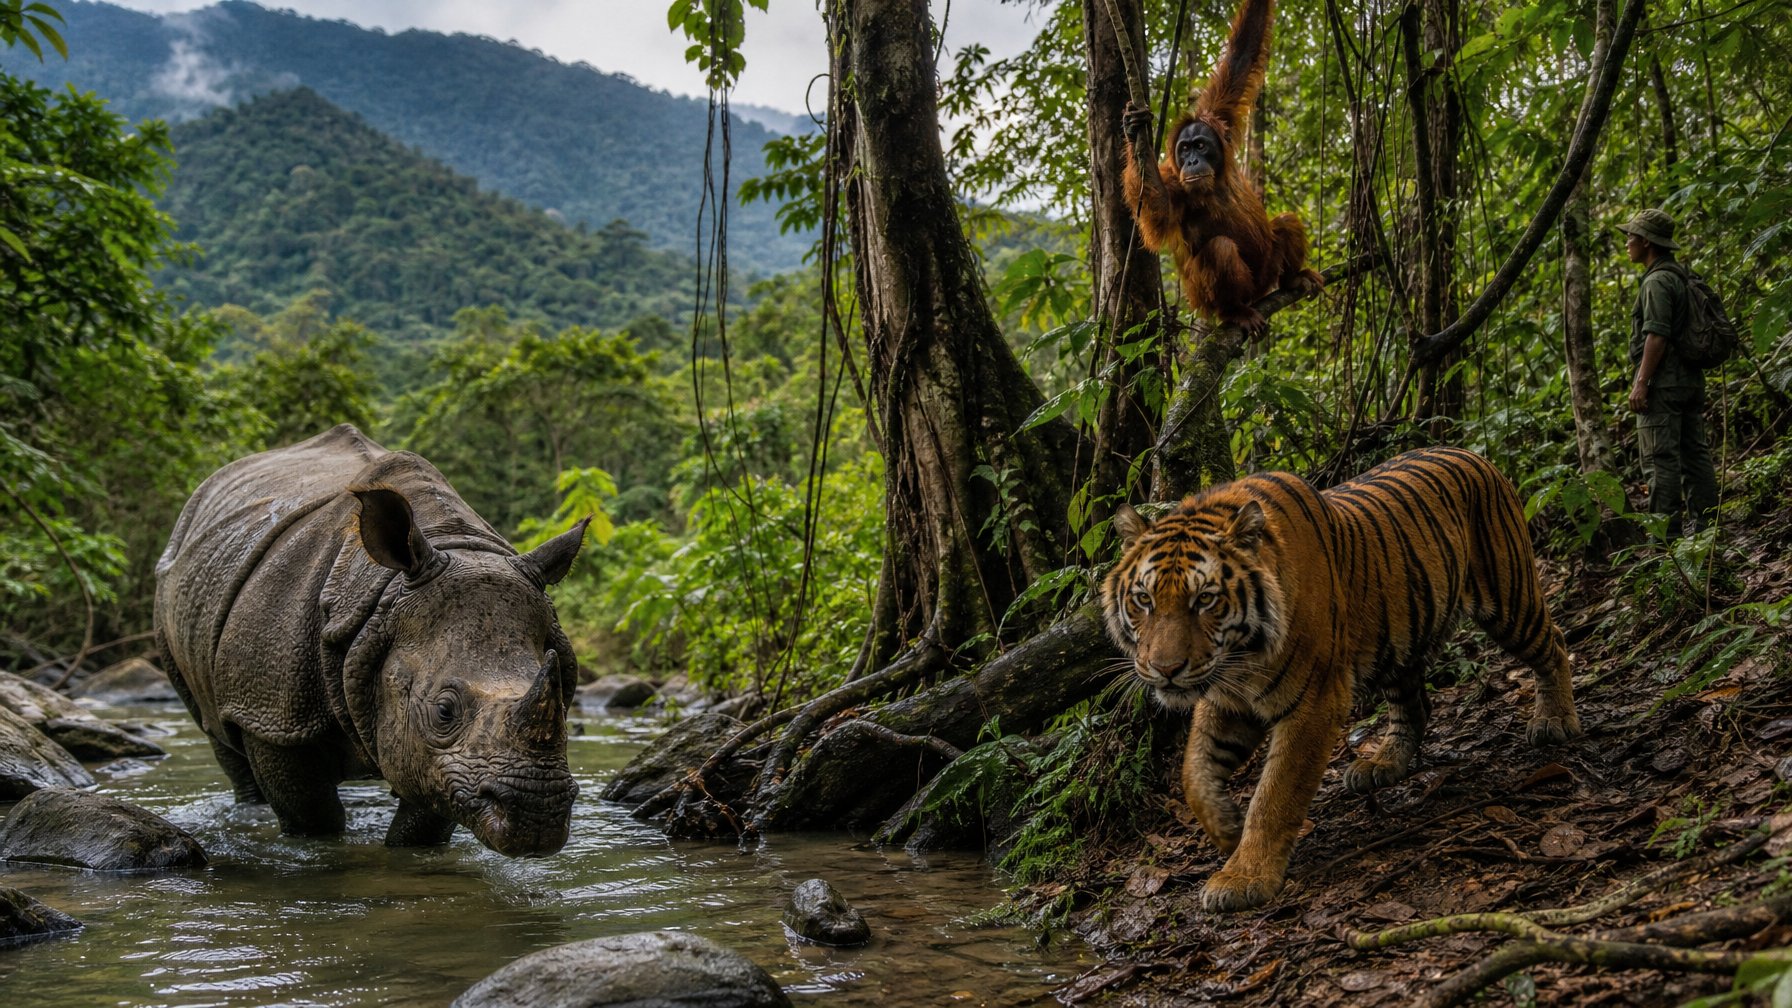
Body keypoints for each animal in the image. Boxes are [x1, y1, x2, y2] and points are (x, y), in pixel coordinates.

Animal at [1121, 0, 1321, 335]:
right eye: (1184, 149)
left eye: (1200, 145)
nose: (1191, 161)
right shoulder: (1175, 182)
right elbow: (1158, 215)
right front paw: (1136, 136)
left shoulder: (1218, 115)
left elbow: (1242, 56)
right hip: (1210, 299)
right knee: (1221, 249)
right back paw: (1236, 311)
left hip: (1265, 272)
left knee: (1285, 222)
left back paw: (1293, 278)